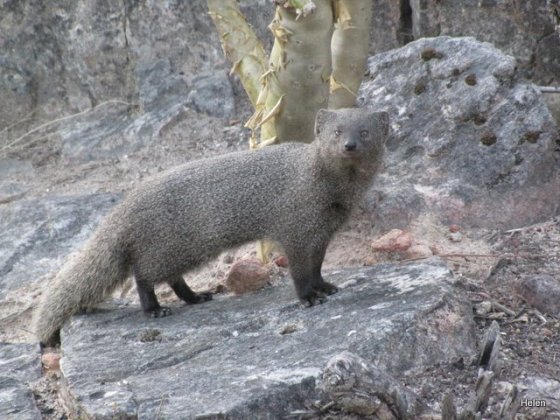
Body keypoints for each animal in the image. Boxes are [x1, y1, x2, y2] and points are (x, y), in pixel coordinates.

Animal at [33, 108, 389, 345]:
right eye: (337, 131)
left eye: (365, 132)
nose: (349, 145)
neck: (329, 191)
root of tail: (123, 208)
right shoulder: (295, 227)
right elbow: (301, 271)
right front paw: (309, 299)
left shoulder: (322, 232)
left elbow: (316, 268)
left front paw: (325, 287)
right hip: (167, 243)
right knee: (143, 275)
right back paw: (155, 310)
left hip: (185, 247)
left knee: (172, 276)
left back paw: (197, 297)